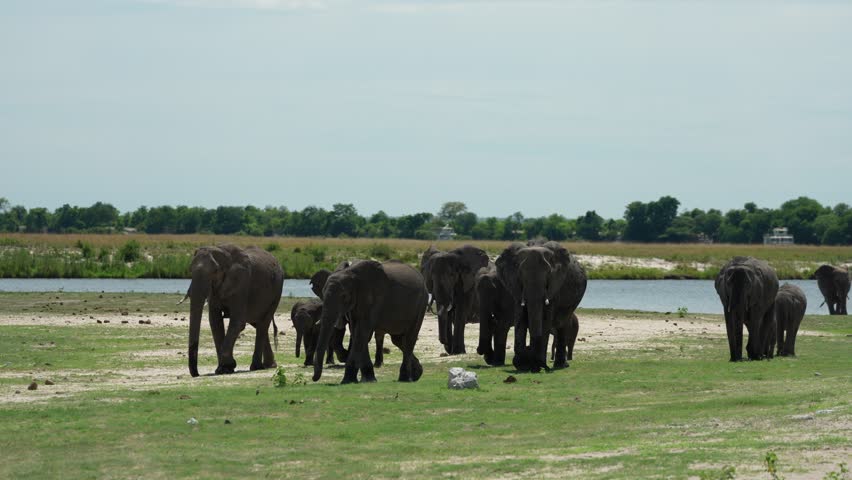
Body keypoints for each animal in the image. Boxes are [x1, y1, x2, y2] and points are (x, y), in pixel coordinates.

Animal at [181, 244, 284, 377]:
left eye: (215, 271)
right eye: (190, 270)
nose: (197, 374)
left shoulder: (241, 285)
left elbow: (237, 322)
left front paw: (227, 367)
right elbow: (215, 322)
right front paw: (223, 369)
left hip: (276, 292)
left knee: (263, 324)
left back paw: (256, 367)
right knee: (258, 325)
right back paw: (269, 365)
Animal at [496, 241, 587, 372]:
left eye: (549, 274)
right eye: (520, 274)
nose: (528, 349)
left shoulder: (554, 286)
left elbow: (545, 320)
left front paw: (536, 366)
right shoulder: (516, 287)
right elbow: (520, 318)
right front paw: (522, 366)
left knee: (562, 325)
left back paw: (561, 365)